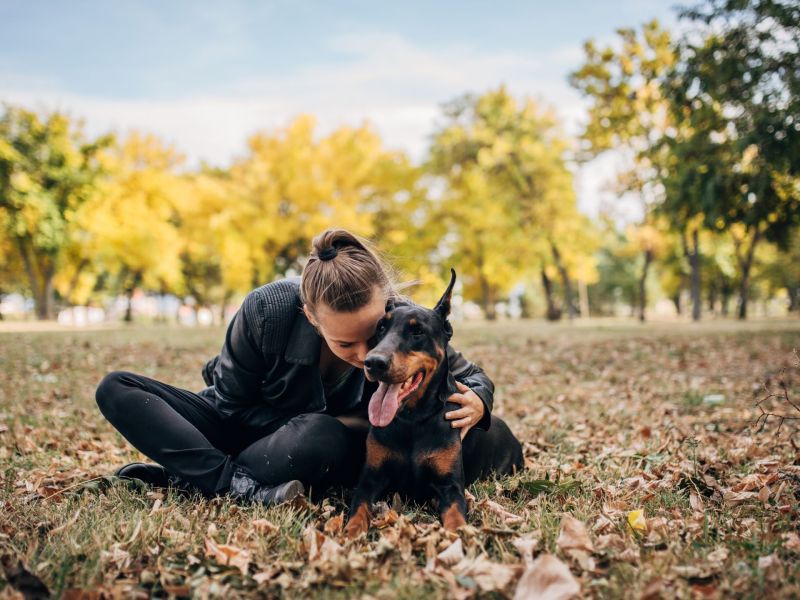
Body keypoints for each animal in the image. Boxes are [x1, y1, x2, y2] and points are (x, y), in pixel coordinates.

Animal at [344, 270, 468, 536]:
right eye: (381, 327)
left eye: (418, 332)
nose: (373, 362)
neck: (413, 419)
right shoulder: (370, 479)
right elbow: (359, 506)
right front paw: (351, 532)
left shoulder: (451, 485)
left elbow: (455, 514)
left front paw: (460, 535)